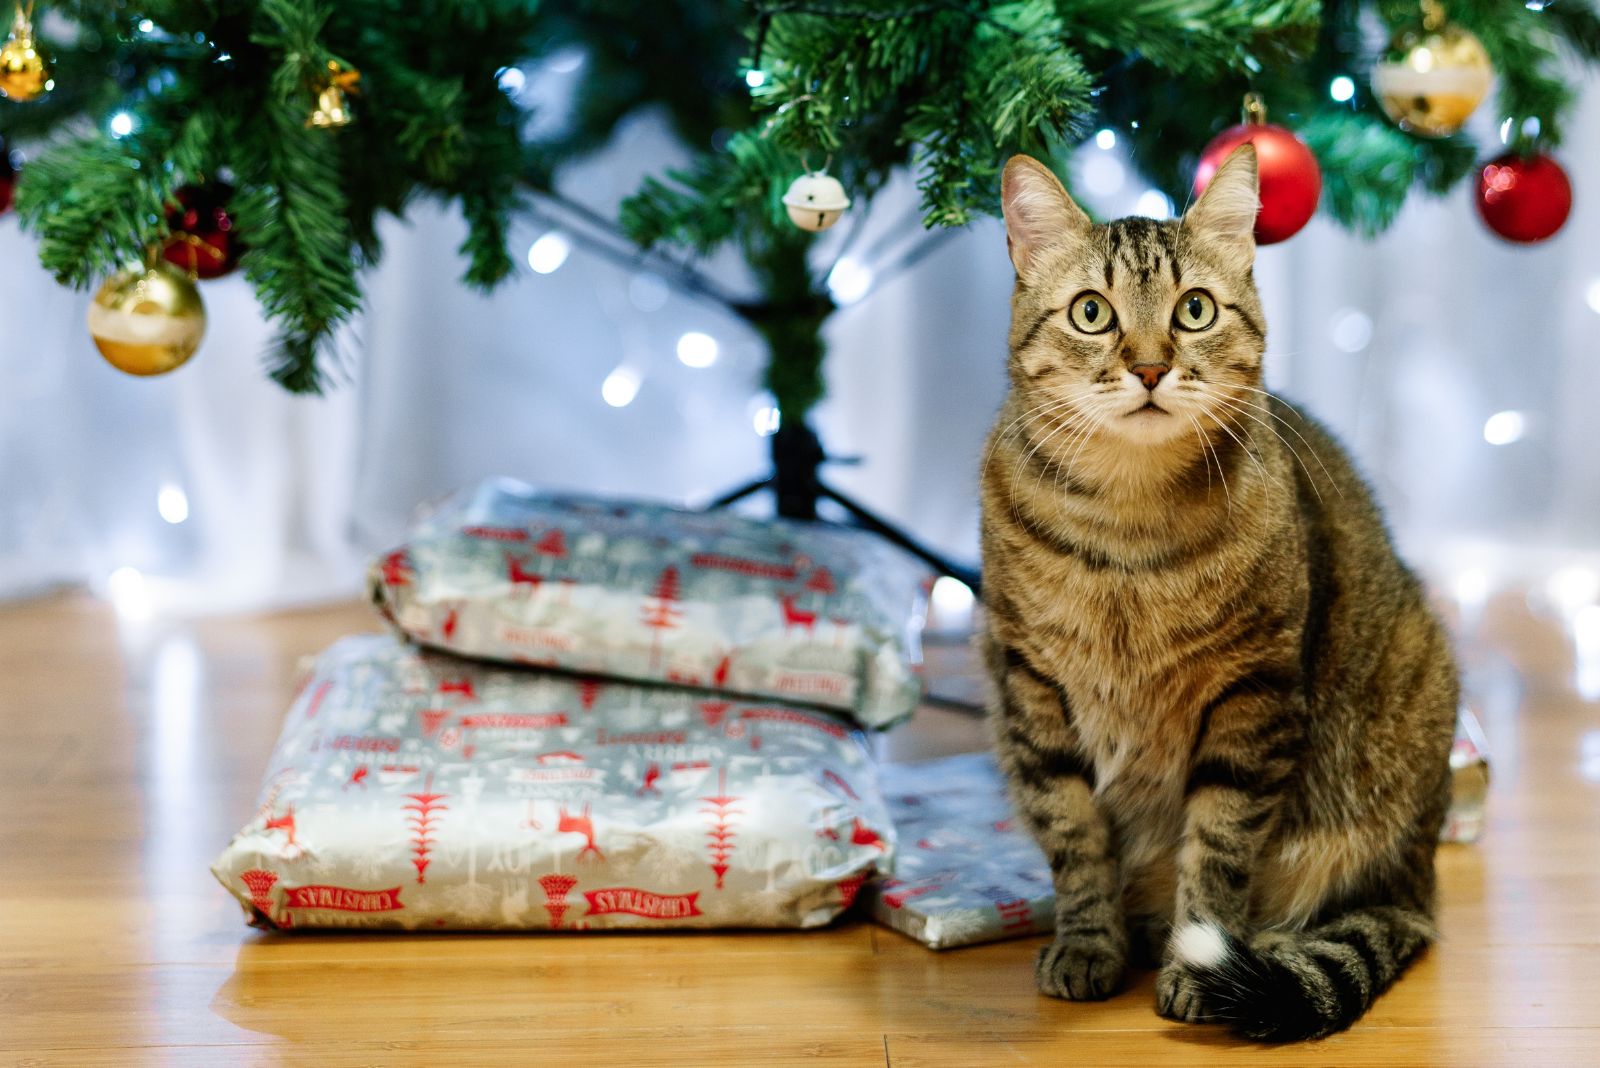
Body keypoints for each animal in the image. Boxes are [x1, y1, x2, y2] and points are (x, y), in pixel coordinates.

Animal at [979, 146, 1459, 1036]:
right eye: (1091, 313)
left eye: (1195, 309)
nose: (1149, 366)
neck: (1127, 529)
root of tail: (1418, 881)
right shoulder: (1030, 685)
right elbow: (1073, 833)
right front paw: (1088, 942)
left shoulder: (1253, 694)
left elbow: (1219, 849)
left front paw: (1195, 964)